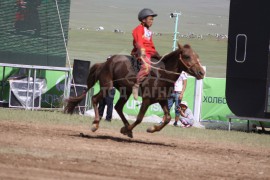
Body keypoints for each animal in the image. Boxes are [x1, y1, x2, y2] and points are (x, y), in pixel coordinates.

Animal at [65, 43, 205, 138]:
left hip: (125, 92)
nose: (201, 72)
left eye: (197, 56)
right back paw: (96, 124)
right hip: (107, 87)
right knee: (95, 99)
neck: (161, 73)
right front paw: (126, 130)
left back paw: (126, 126)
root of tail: (105, 63)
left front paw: (151, 128)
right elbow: (139, 118)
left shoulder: (162, 100)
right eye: (187, 56)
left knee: (118, 107)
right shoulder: (147, 100)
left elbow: (168, 118)